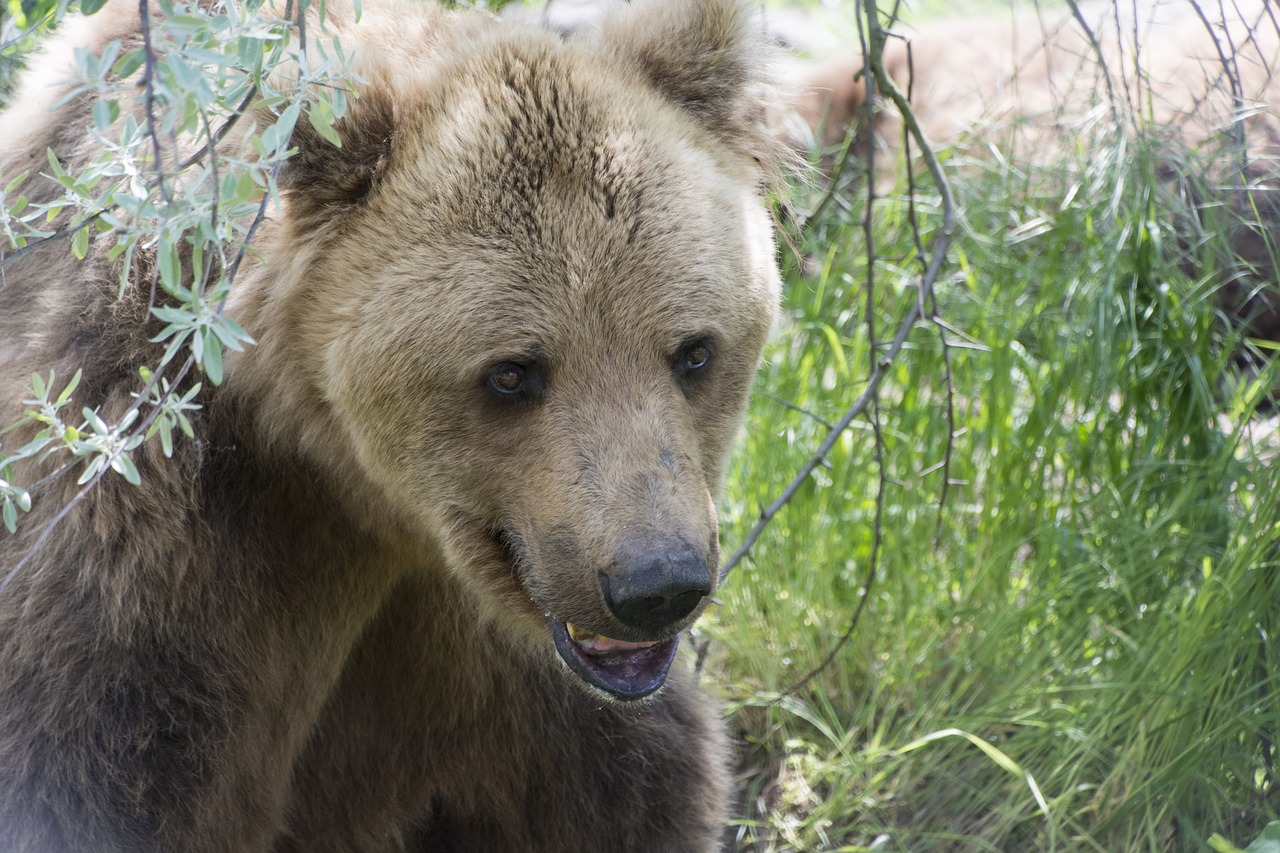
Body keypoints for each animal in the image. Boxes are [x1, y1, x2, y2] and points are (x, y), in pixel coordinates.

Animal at [0, 1, 783, 850]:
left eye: (694, 351)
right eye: (512, 371)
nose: (656, 583)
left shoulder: (515, 680)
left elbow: (632, 789)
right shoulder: (150, 549)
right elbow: (89, 767)